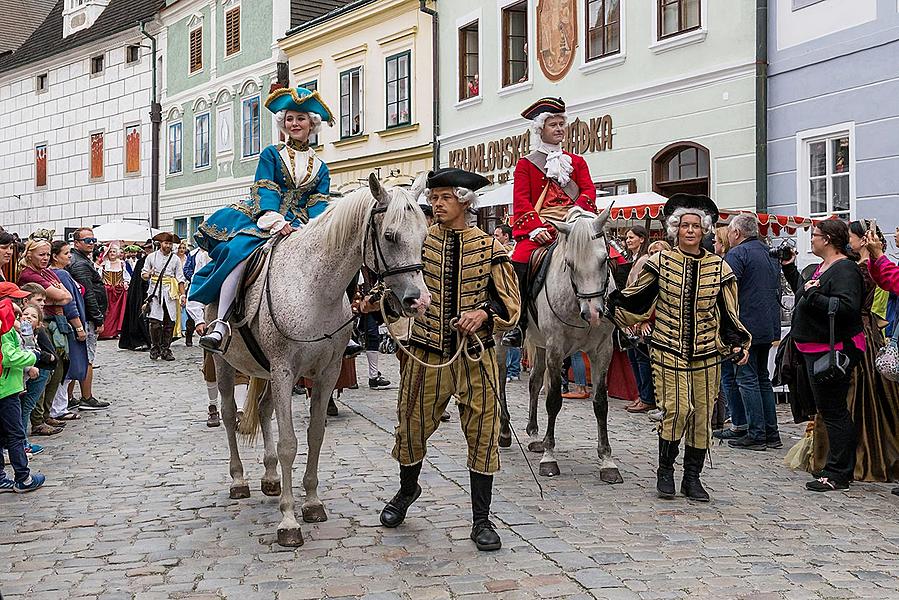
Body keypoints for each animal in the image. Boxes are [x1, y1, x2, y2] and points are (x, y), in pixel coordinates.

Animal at [213, 175, 434, 548]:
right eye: (390, 235)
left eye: (423, 236)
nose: (418, 301)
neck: (314, 287)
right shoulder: (285, 370)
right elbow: (289, 444)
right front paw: (288, 520)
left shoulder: (326, 373)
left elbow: (315, 434)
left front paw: (312, 502)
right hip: (223, 363)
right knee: (231, 415)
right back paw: (239, 479)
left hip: (266, 372)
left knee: (265, 409)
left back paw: (270, 477)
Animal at [520, 207, 624, 482]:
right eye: (569, 264)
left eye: (604, 260)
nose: (594, 313)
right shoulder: (556, 349)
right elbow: (554, 400)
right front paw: (549, 457)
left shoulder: (603, 351)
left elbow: (600, 403)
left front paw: (607, 460)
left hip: (539, 345)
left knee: (534, 381)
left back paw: (534, 432)